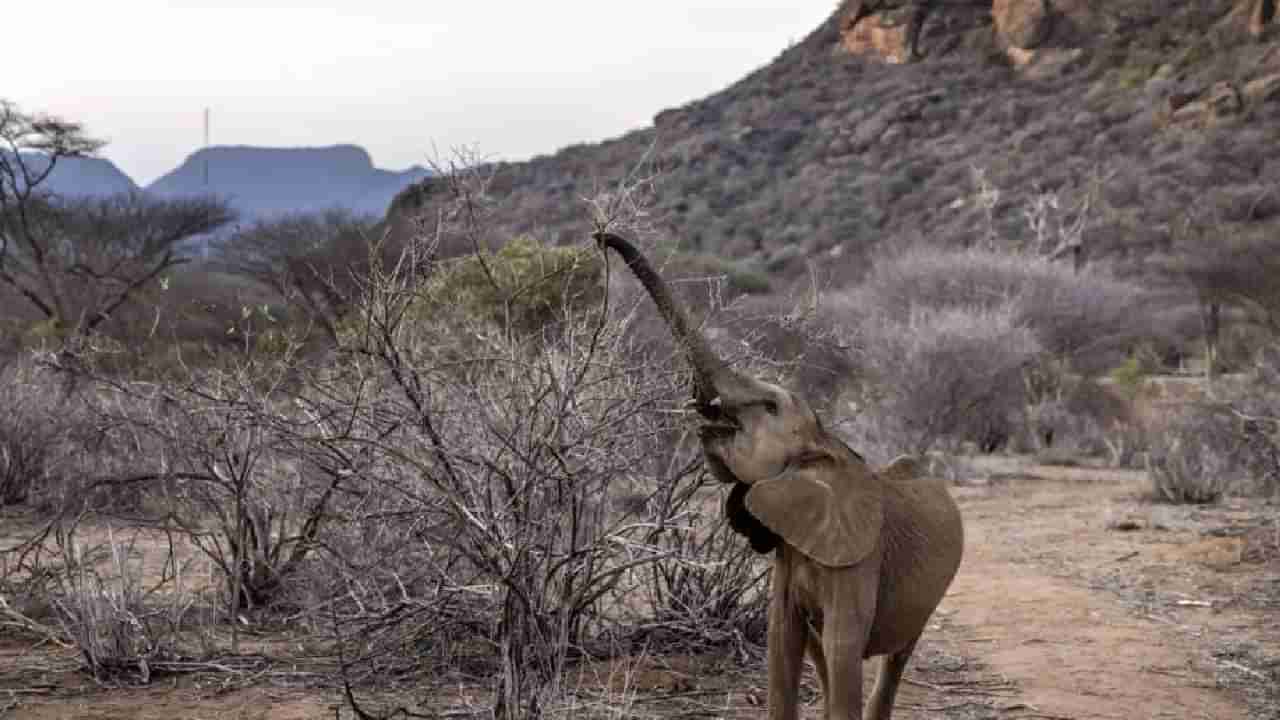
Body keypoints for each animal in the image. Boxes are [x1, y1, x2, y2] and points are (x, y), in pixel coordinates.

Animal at [593, 230, 962, 717]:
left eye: (769, 406)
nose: (600, 237)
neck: (822, 447)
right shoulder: (790, 550)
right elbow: (781, 640)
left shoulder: (858, 559)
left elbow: (843, 648)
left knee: (894, 656)